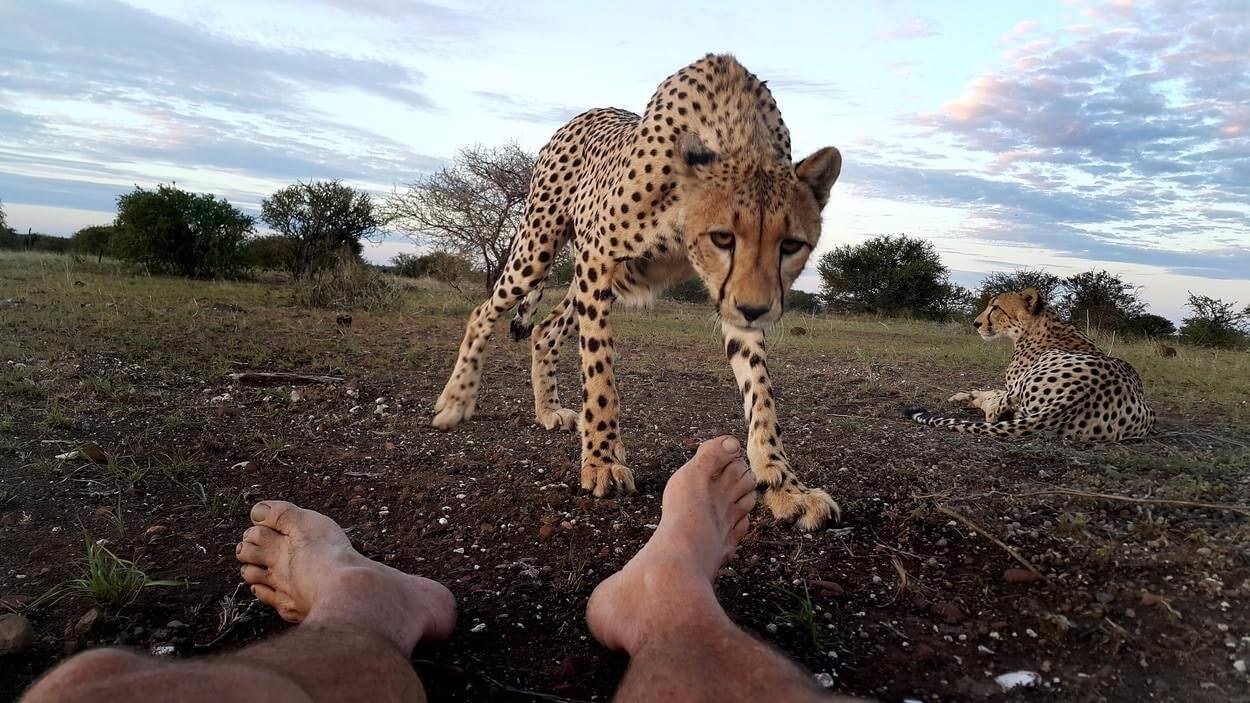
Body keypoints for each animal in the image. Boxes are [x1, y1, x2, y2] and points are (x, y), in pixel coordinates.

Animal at [427, 53, 840, 525]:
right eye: (722, 238)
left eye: (790, 245)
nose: (755, 309)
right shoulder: (598, 259)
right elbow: (599, 373)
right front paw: (602, 460)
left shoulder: (728, 297)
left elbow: (761, 394)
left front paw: (784, 484)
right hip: (540, 249)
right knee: (485, 311)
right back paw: (456, 401)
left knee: (546, 328)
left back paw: (547, 410)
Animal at [905, 285, 1155, 437]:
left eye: (995, 307)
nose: (976, 323)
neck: (1037, 327)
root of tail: (1082, 391)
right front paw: (965, 394)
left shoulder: (1014, 384)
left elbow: (996, 397)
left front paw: (970, 396)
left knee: (995, 413)